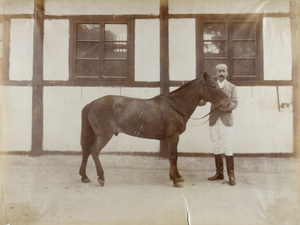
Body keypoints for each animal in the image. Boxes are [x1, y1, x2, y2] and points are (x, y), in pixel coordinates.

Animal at [78, 72, 229, 188]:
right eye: (213, 86)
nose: (227, 102)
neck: (175, 105)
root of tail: (91, 104)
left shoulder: (172, 138)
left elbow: (174, 156)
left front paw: (177, 176)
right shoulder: (173, 137)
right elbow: (173, 156)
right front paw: (175, 180)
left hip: (94, 134)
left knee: (86, 151)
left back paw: (84, 176)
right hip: (104, 135)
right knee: (94, 151)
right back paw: (101, 177)